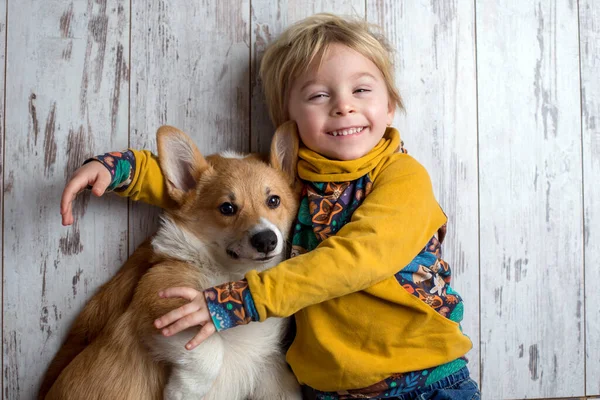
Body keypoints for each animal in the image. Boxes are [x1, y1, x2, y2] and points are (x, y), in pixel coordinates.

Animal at [42, 122, 302, 400]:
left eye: (273, 200)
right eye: (227, 208)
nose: (266, 241)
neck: (232, 273)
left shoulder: (270, 366)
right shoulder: (159, 300)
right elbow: (209, 350)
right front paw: (183, 391)